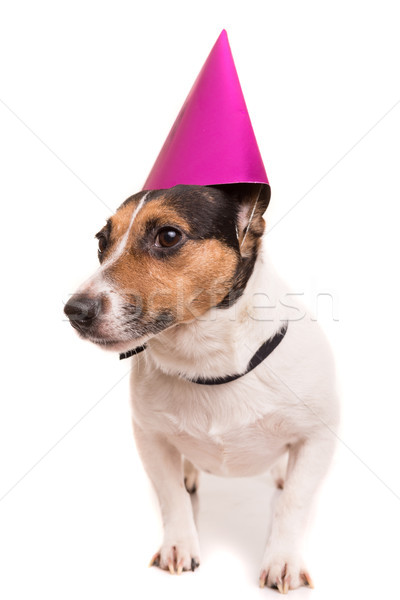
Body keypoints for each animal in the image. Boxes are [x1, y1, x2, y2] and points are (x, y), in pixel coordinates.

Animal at [65, 184, 338, 596]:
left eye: (168, 236)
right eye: (101, 241)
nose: (74, 311)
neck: (207, 365)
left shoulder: (316, 438)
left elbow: (293, 501)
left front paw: (282, 561)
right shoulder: (150, 437)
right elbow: (171, 496)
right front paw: (178, 546)